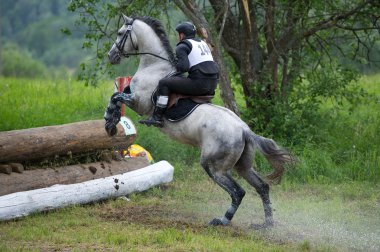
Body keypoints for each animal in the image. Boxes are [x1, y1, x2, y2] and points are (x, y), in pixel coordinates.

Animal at [107, 14, 294, 228]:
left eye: (120, 33)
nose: (111, 56)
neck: (154, 66)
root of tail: (244, 130)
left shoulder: (139, 102)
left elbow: (117, 96)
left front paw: (110, 123)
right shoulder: (132, 95)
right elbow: (117, 94)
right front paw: (110, 121)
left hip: (214, 165)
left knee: (238, 192)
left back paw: (222, 220)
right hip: (242, 165)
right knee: (262, 186)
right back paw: (267, 223)